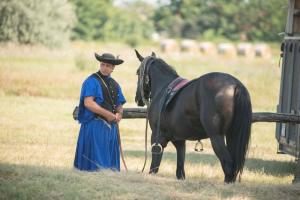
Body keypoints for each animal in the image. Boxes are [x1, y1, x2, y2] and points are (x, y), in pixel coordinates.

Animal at [135, 50, 252, 183]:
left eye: (138, 72)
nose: (137, 99)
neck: (163, 89)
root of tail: (235, 85)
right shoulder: (179, 140)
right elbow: (180, 170)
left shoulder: (157, 137)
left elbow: (154, 166)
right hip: (231, 135)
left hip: (216, 137)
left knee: (227, 163)